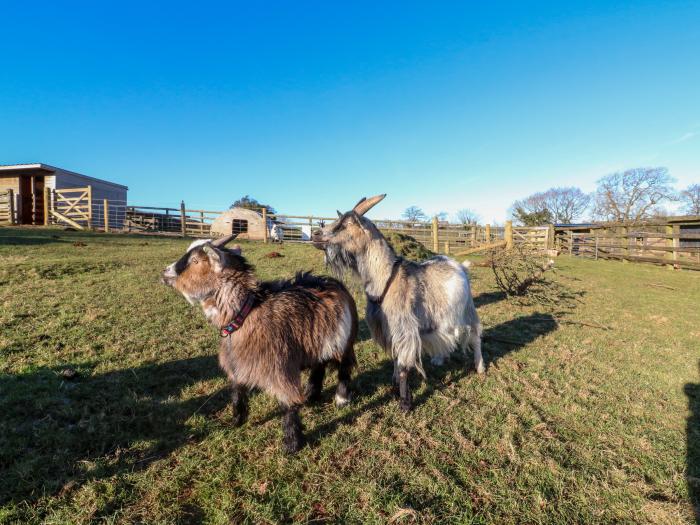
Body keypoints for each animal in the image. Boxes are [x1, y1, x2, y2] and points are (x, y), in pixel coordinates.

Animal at [162, 235, 358, 452]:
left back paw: (341, 398)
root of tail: (333, 282)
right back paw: (311, 395)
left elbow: (288, 403)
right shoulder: (238, 363)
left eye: (195, 261)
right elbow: (237, 392)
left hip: (344, 341)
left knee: (344, 367)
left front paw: (292, 443)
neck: (246, 312)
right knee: (319, 365)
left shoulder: (279, 367)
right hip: (317, 341)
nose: (165, 272)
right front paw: (236, 421)